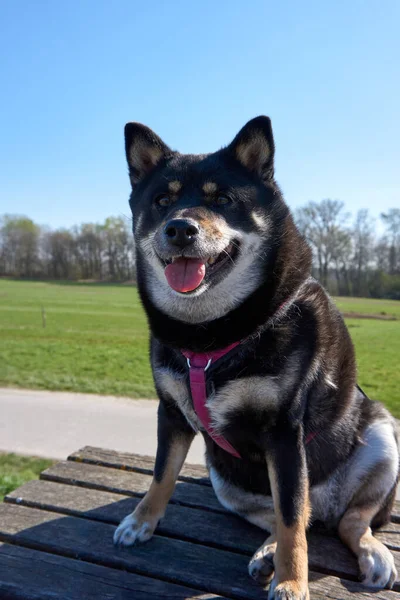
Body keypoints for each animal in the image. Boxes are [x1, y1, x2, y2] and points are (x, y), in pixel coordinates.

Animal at [114, 115, 398, 596]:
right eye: (162, 201)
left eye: (223, 199)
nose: (180, 228)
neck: (209, 337)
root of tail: (325, 506)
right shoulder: (171, 411)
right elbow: (161, 474)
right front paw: (141, 520)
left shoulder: (283, 431)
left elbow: (291, 520)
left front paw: (292, 582)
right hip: (226, 481)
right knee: (291, 517)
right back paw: (267, 551)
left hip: (383, 434)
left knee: (343, 520)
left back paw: (369, 551)